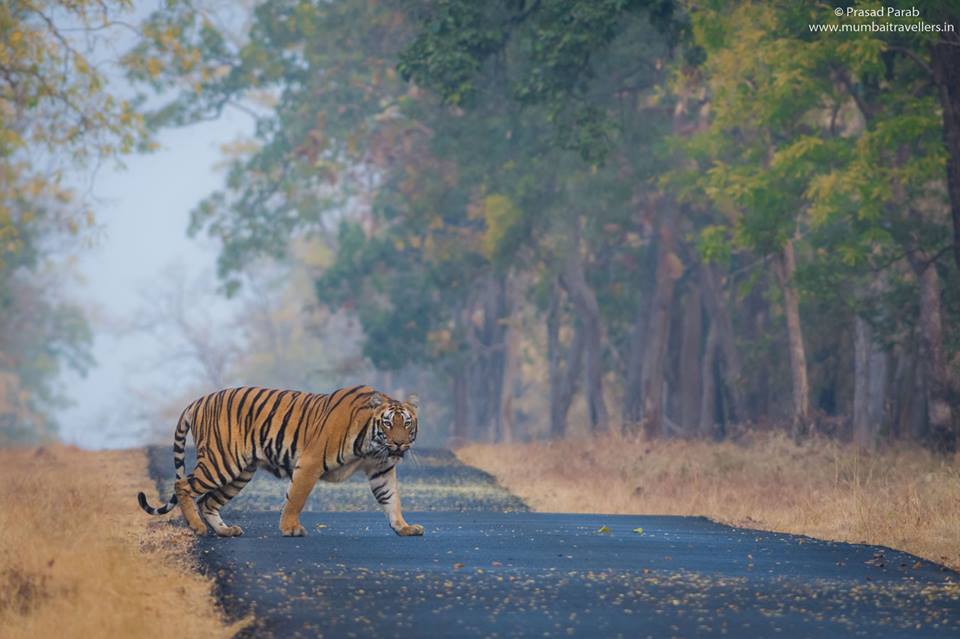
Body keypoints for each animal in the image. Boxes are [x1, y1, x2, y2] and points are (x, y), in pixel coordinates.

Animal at [137, 384, 422, 540]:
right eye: (388, 423)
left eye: (407, 423)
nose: (399, 444)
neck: (371, 446)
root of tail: (198, 401)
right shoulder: (310, 462)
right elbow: (296, 497)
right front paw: (290, 528)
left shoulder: (381, 469)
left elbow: (391, 499)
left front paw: (404, 528)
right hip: (221, 462)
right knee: (183, 485)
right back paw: (196, 527)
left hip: (240, 472)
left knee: (207, 501)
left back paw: (226, 531)